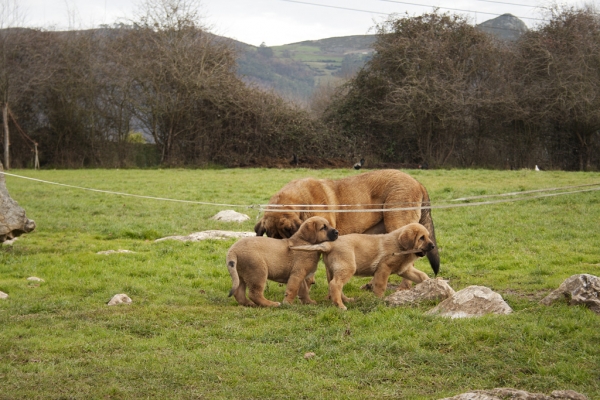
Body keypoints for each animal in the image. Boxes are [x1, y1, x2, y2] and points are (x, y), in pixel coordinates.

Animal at [290, 222, 432, 310]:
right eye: (421, 238)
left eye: (428, 237)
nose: (433, 246)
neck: (399, 244)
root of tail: (329, 244)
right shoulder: (384, 268)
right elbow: (381, 285)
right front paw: (380, 299)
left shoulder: (405, 270)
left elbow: (422, 275)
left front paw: (430, 283)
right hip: (347, 267)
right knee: (335, 284)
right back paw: (340, 305)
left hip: (332, 270)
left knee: (334, 285)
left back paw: (345, 300)